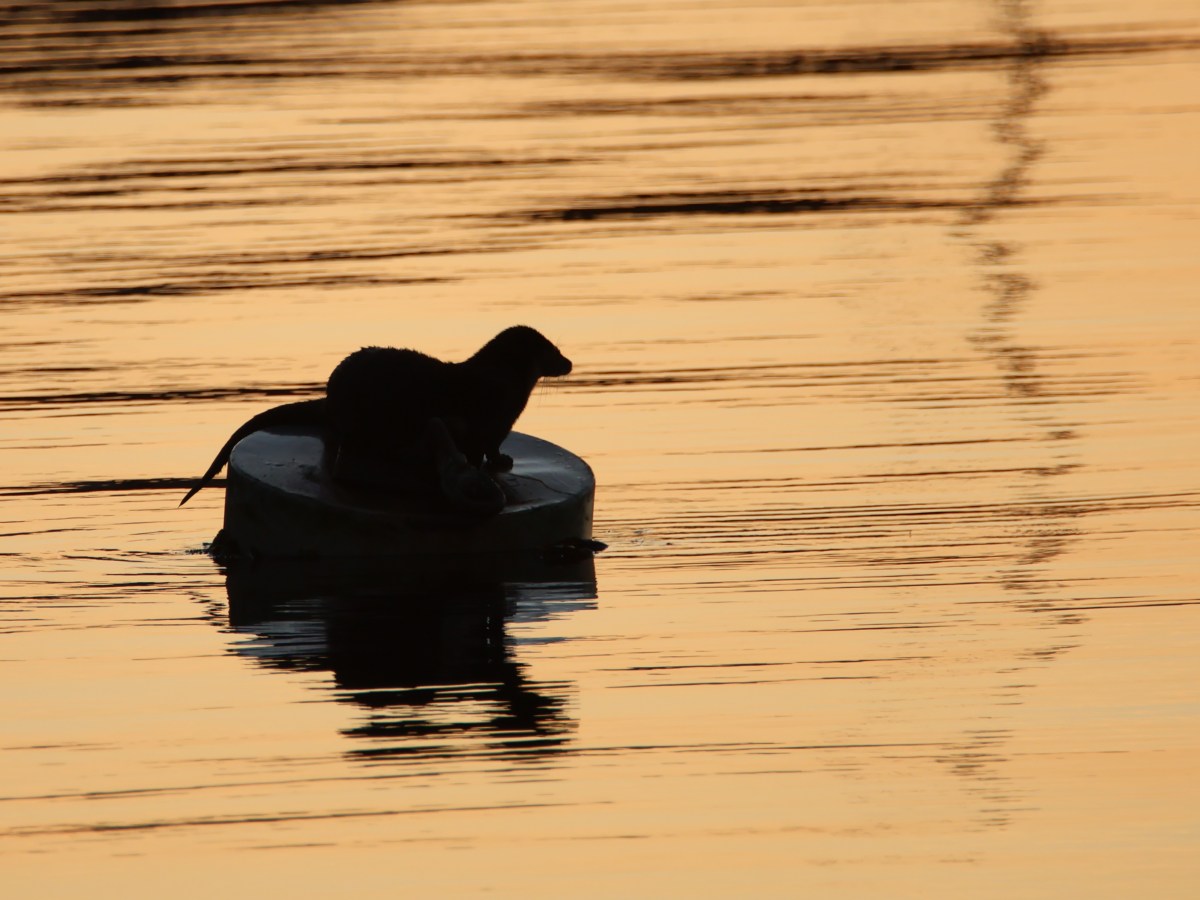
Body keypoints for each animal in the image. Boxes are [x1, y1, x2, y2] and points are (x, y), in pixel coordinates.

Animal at [179, 325, 572, 511]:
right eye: (553, 351)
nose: (569, 363)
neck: (500, 385)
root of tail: (330, 398)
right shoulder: (488, 420)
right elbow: (482, 449)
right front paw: (495, 463)